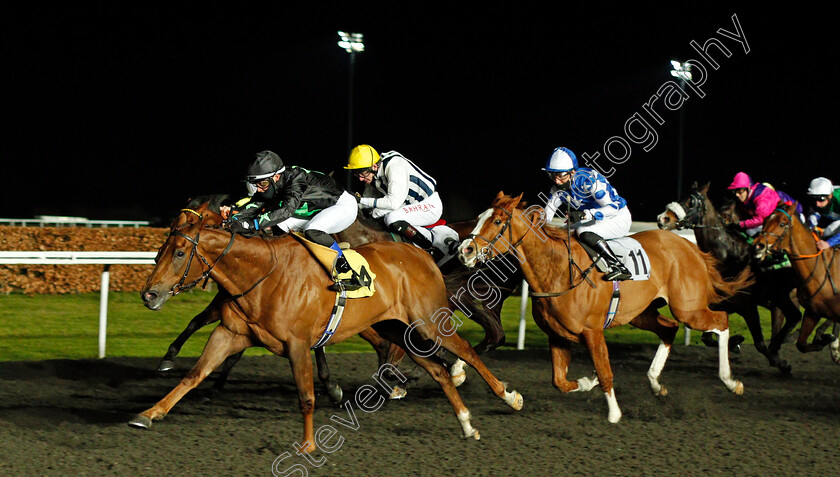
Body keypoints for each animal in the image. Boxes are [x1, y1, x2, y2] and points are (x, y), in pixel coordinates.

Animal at [132, 212, 520, 446]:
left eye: (179, 253)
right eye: (159, 251)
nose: (149, 294)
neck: (262, 274)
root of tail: (422, 255)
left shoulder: (298, 343)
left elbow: (306, 396)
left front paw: (307, 445)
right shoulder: (229, 334)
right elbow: (193, 375)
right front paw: (149, 414)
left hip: (427, 321)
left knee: (465, 351)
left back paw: (506, 395)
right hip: (397, 328)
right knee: (437, 370)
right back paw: (466, 423)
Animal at [456, 192, 752, 422]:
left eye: (497, 221)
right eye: (479, 217)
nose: (465, 250)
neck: (557, 272)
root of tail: (690, 247)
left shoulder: (593, 332)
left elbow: (605, 371)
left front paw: (613, 413)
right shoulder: (558, 336)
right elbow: (560, 382)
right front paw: (589, 382)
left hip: (687, 308)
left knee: (721, 320)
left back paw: (730, 381)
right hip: (641, 313)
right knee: (669, 328)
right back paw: (656, 383)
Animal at [656, 182, 800, 372]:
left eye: (690, 201)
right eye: (680, 196)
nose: (662, 219)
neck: (728, 255)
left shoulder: (747, 305)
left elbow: (759, 343)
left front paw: (781, 362)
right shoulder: (723, 302)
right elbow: (707, 337)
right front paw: (736, 342)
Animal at [756, 201, 840, 360]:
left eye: (782, 224)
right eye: (765, 220)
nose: (758, 246)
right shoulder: (812, 313)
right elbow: (801, 344)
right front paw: (825, 340)